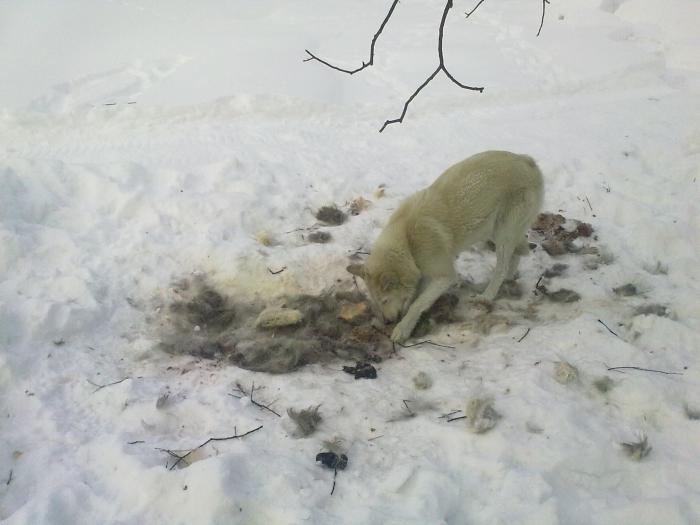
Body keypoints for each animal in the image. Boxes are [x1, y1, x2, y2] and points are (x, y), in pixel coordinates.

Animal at [347, 150, 544, 343]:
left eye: (385, 300)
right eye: (378, 302)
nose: (388, 322)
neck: (407, 242)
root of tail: (527, 160)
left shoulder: (444, 276)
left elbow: (417, 304)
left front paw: (402, 328)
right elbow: (416, 297)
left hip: (502, 234)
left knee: (501, 268)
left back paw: (487, 295)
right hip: (494, 232)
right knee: (514, 255)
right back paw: (507, 278)